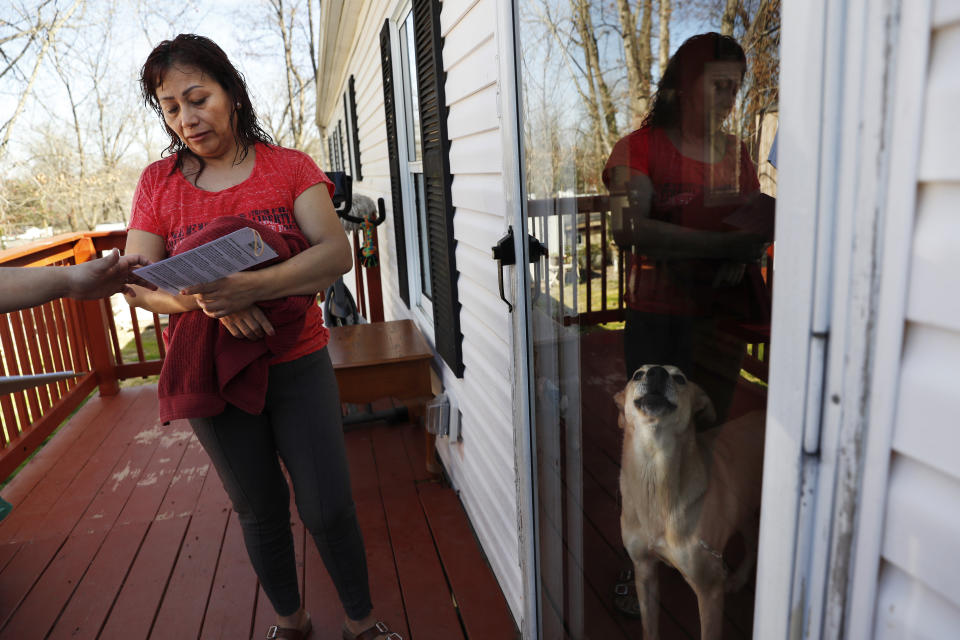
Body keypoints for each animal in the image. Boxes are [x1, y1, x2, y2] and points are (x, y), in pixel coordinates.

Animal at [620, 364, 768, 640]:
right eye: (637, 374)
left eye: (680, 378)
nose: (656, 372)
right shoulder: (644, 570)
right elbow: (649, 628)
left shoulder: (709, 588)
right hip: (741, 509)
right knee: (753, 539)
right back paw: (740, 578)